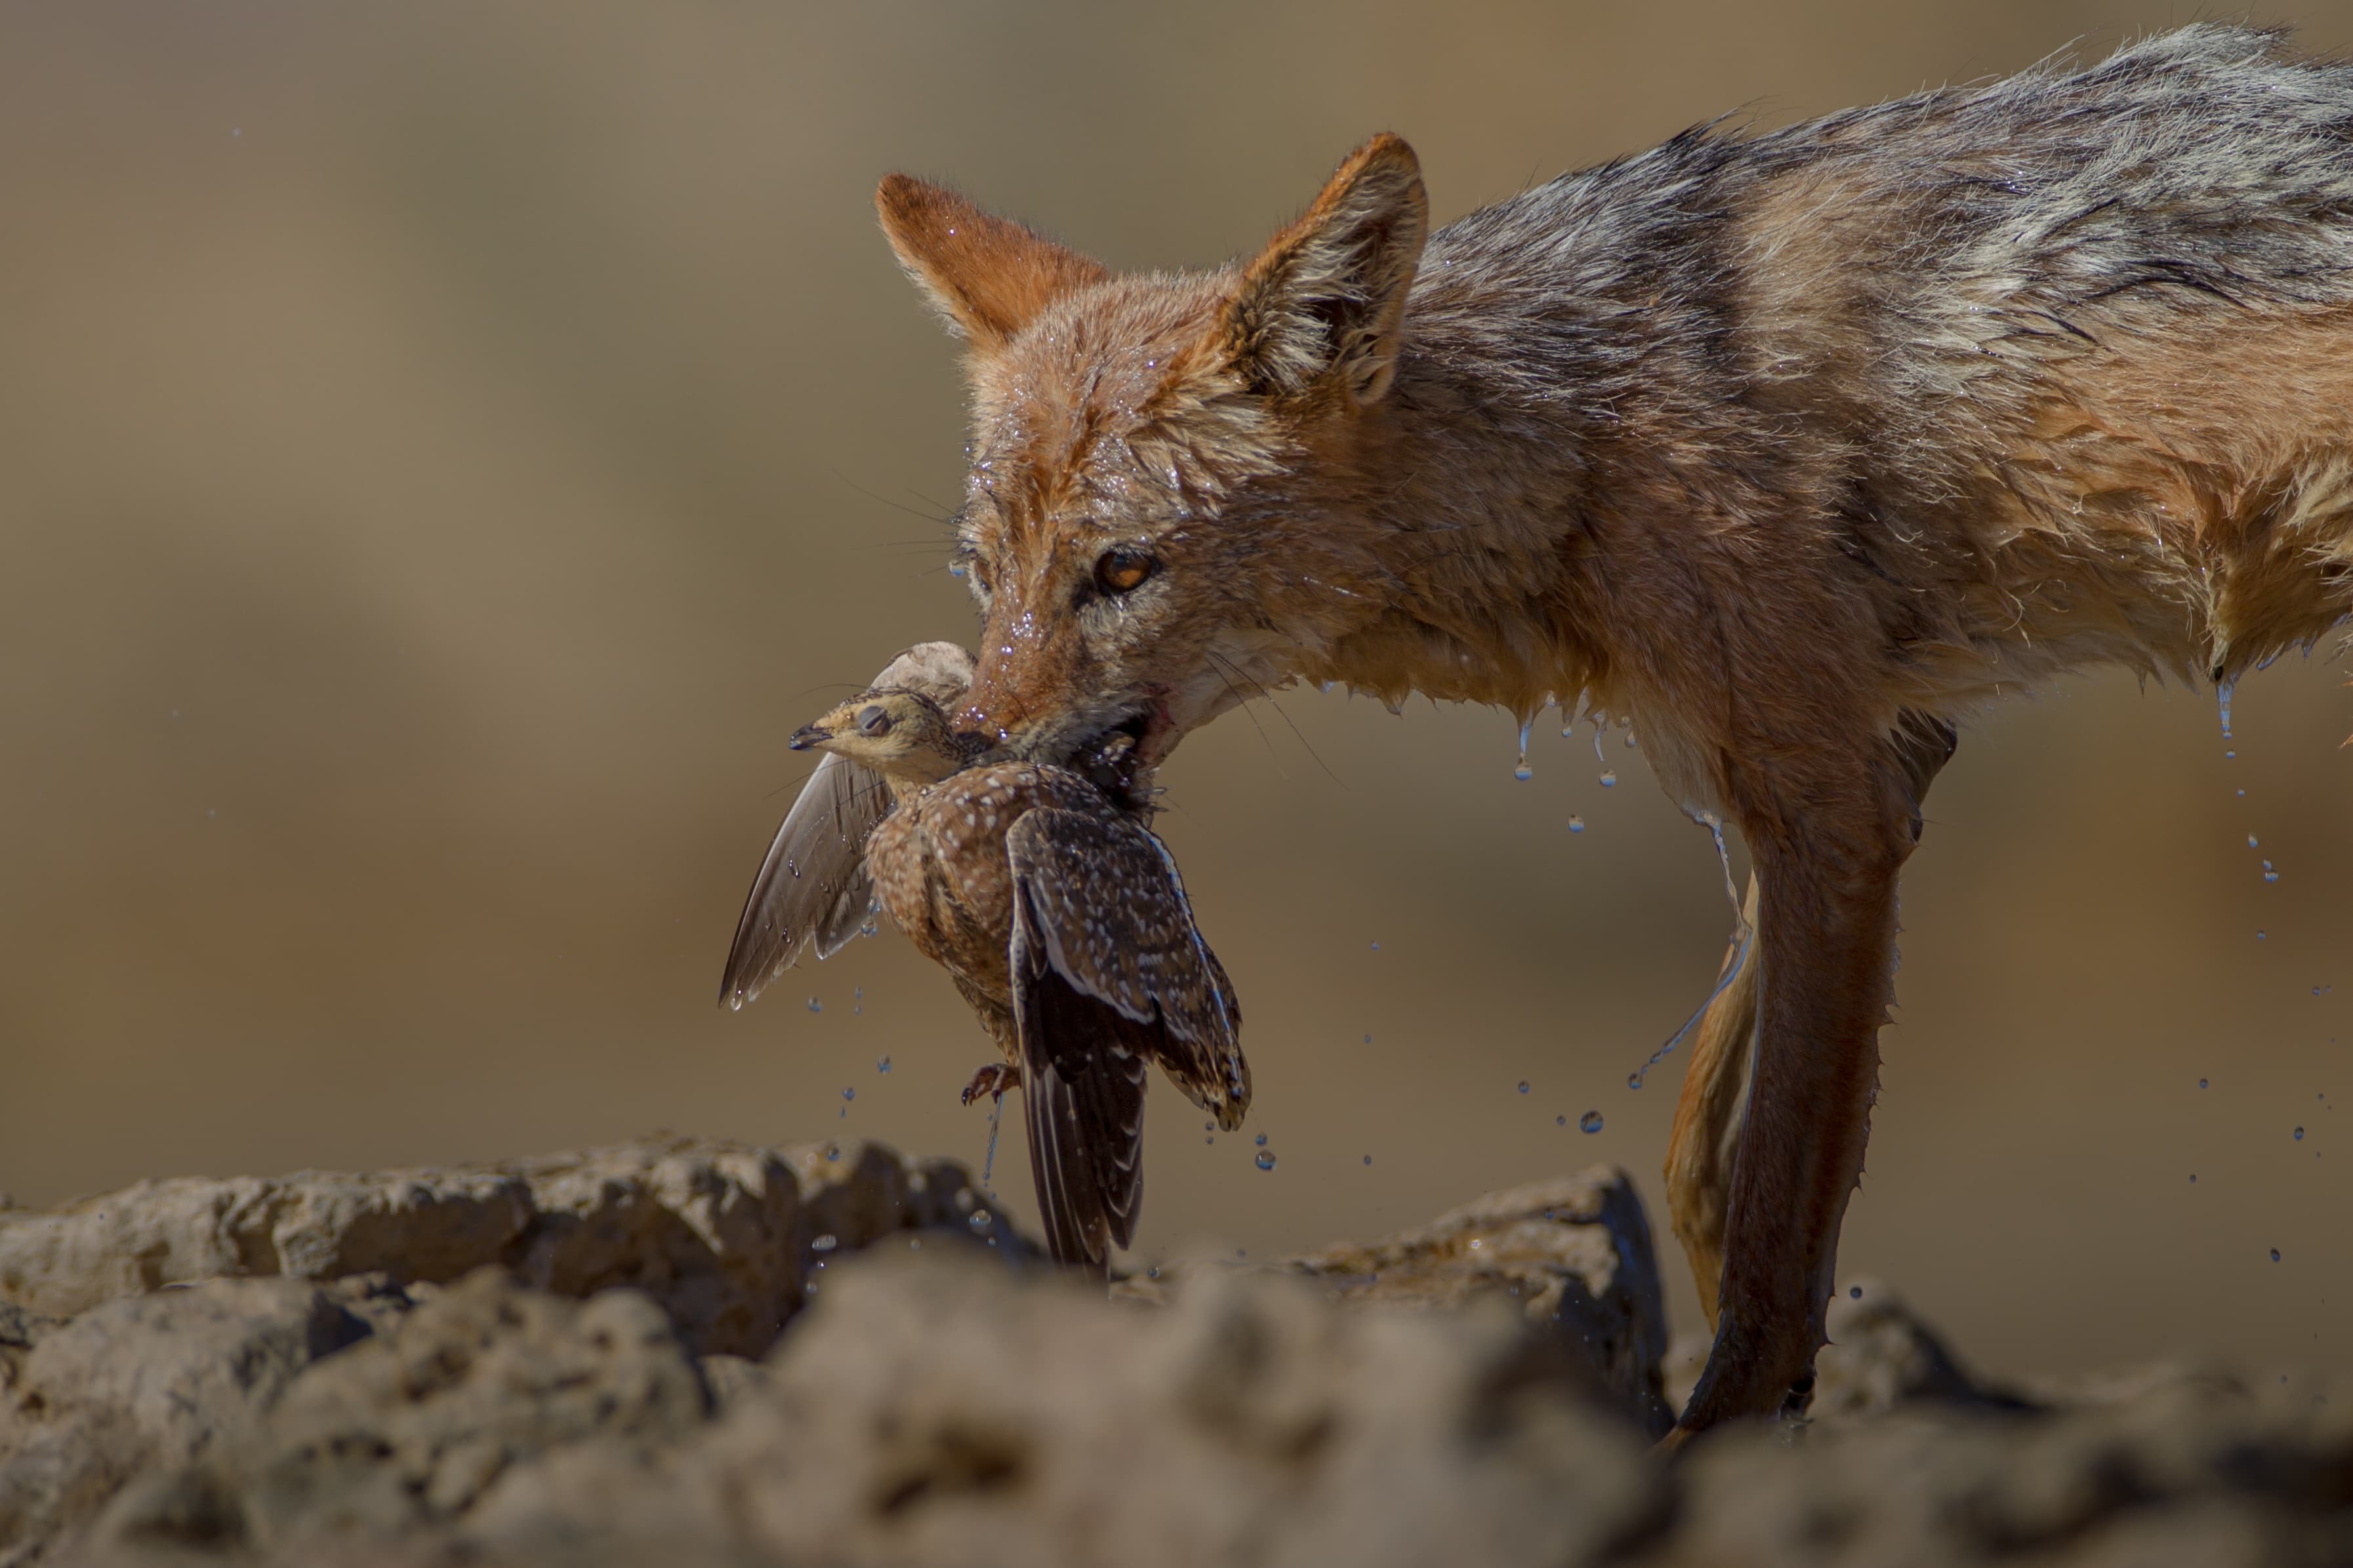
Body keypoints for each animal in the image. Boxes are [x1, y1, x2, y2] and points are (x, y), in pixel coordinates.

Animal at [861, 25, 2353, 1439]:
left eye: (1122, 571)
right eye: (986, 574)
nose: (971, 746)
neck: (1589, 420)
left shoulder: (1831, 800)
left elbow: (1776, 1205)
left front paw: (1720, 1438)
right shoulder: (1859, 765)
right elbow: (1706, 1142)